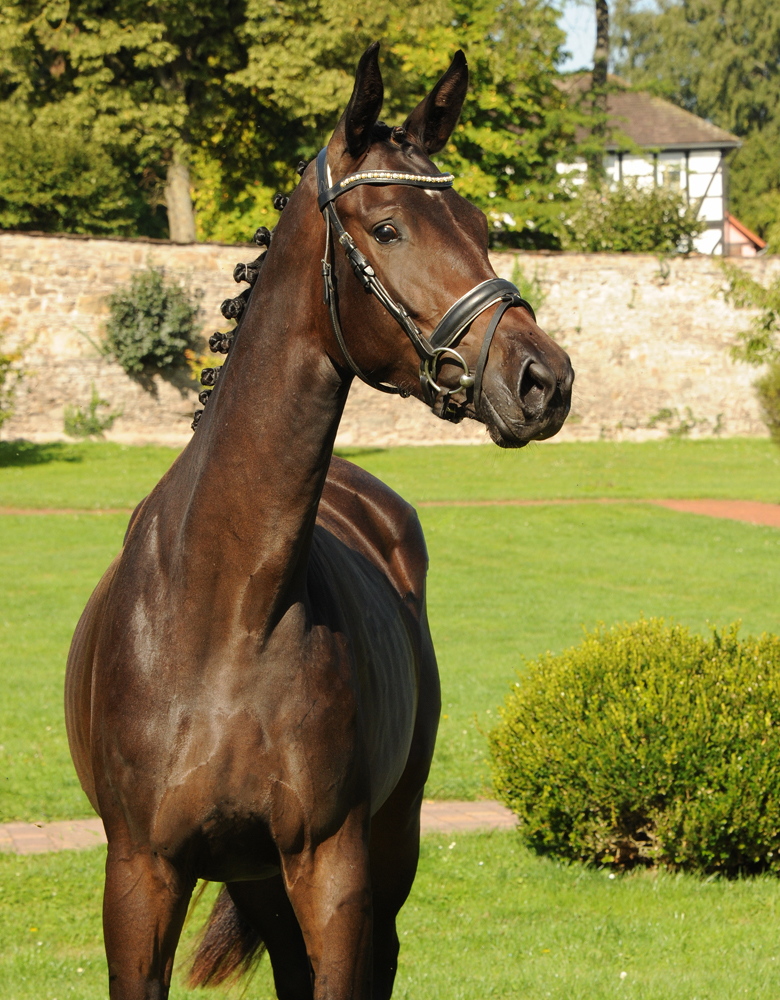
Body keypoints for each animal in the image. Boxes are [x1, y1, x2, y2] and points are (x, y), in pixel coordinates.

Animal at [65, 43, 572, 996]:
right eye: (388, 228)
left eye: (480, 225)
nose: (542, 379)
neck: (226, 608)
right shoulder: (141, 876)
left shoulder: (332, 868)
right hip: (256, 878)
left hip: (384, 845)